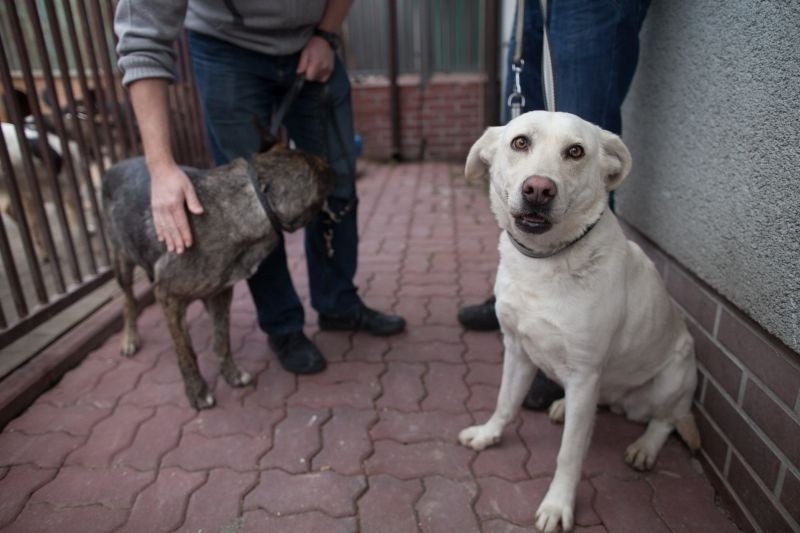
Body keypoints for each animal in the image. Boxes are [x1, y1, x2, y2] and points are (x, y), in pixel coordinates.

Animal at [104, 136, 334, 408]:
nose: (337, 173)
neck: (258, 198)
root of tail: (113, 167)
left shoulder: (222, 293)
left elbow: (222, 340)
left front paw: (231, 374)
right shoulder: (167, 296)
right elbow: (186, 352)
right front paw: (197, 391)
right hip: (122, 263)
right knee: (128, 302)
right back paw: (130, 339)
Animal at [460, 110, 696, 528]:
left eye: (575, 152)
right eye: (520, 142)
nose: (539, 189)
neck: (540, 264)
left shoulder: (585, 373)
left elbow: (569, 454)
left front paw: (558, 505)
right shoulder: (517, 349)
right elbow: (505, 403)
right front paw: (489, 434)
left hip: (674, 375)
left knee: (665, 420)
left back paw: (645, 447)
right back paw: (562, 406)